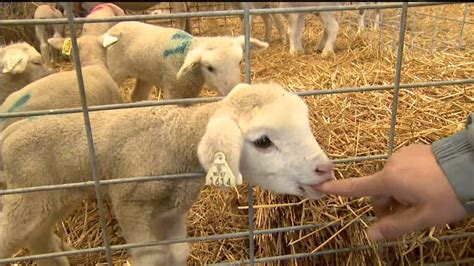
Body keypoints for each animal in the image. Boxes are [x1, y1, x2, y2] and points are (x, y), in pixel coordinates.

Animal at [0, 82, 334, 264]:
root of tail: (10, 134)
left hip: (51, 199)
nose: (325, 169)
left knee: (39, 236)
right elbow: (153, 257)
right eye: (263, 142)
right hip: (24, 200)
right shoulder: (130, 205)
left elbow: (177, 253)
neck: (174, 139)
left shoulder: (172, 211)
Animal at [102, 20, 268, 101]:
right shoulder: (173, 90)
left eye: (240, 62)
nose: (234, 90)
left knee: (137, 96)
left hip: (145, 74)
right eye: (209, 68)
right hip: (114, 70)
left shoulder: (189, 92)